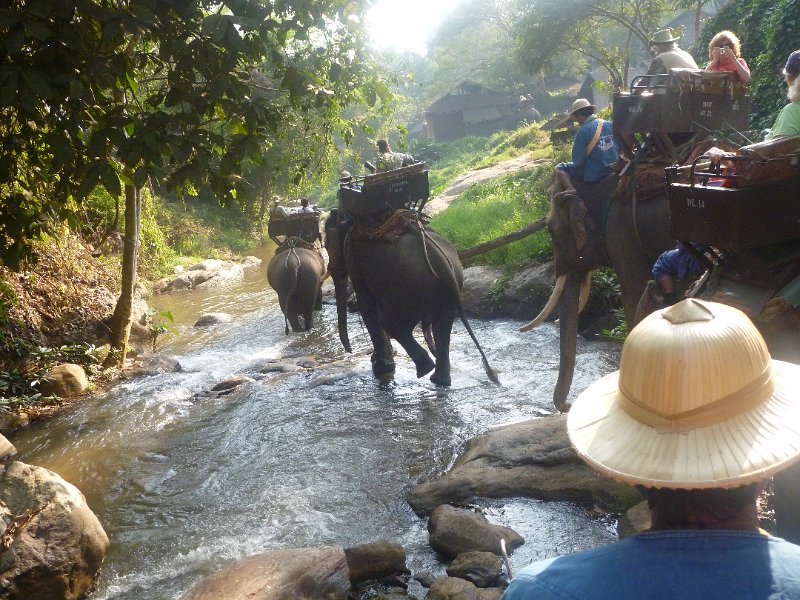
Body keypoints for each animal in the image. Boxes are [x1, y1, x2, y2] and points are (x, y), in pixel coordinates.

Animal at [322, 211, 496, 386]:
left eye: (327, 243)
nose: (349, 350)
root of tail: (441, 261)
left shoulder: (352, 253)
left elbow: (367, 304)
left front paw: (381, 367)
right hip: (447, 291)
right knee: (441, 327)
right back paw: (440, 380)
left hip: (407, 289)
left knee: (390, 323)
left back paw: (425, 368)